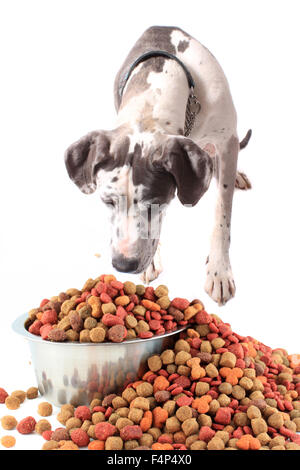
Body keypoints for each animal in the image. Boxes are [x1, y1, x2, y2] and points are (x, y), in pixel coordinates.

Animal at [65, 24, 251, 304]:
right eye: (108, 202)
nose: (124, 265)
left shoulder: (227, 139)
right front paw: (152, 261)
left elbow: (222, 214)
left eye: (156, 202)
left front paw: (219, 270)